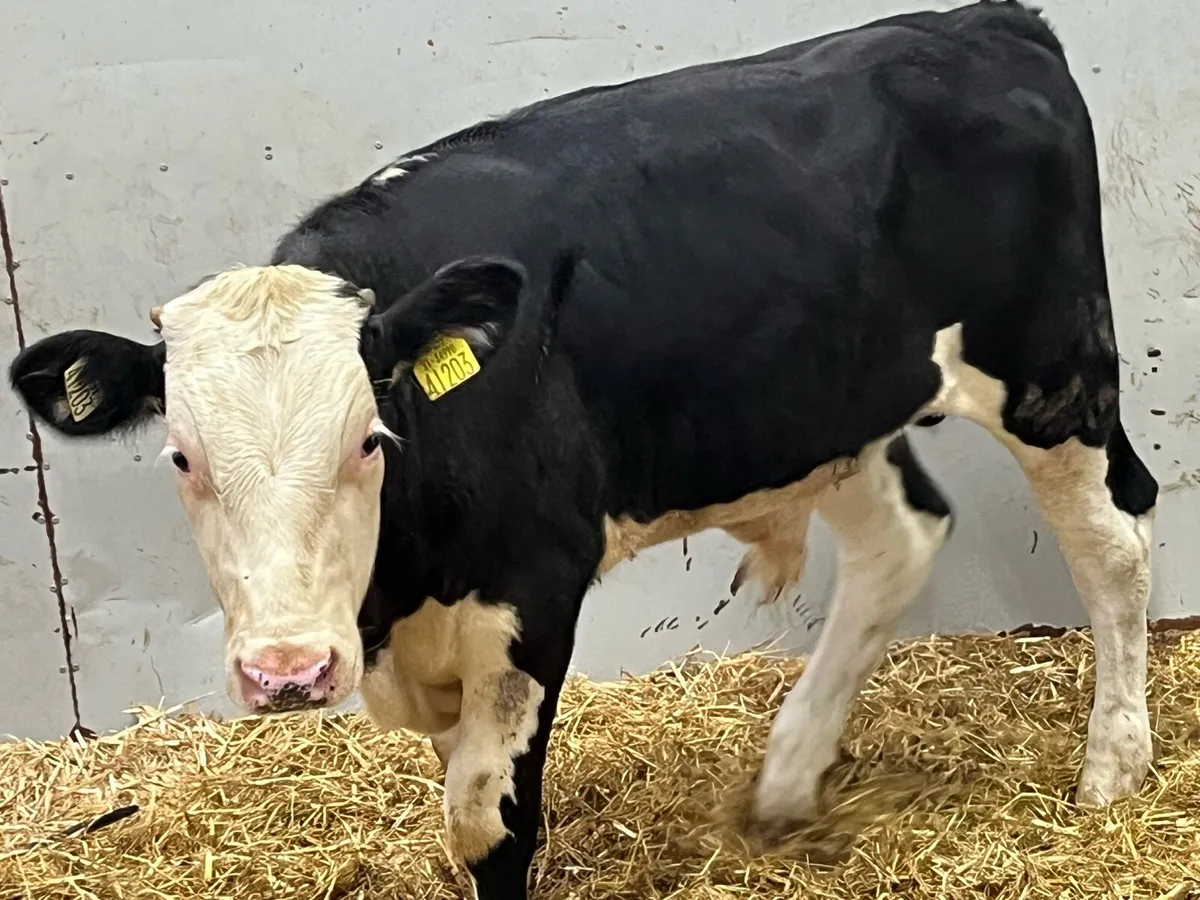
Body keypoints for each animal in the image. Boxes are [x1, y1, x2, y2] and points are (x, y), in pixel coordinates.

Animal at [9, 2, 1158, 896]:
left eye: (369, 440)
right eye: (181, 459)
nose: (288, 671)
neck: (394, 601)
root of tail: (989, 23)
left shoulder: (533, 587)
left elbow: (485, 817)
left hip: (1051, 371)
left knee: (1115, 543)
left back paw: (1112, 769)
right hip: (821, 410)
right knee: (901, 542)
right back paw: (787, 780)